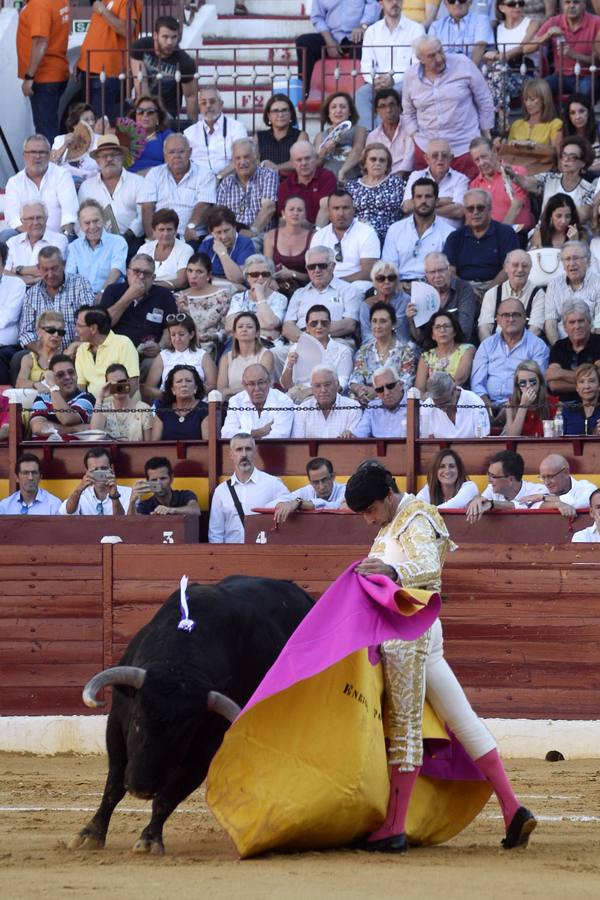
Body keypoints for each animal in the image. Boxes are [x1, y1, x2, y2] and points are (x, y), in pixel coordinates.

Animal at [70, 572, 314, 856]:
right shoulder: (117, 726)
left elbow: (168, 796)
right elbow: (113, 786)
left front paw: (149, 839)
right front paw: (90, 834)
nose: (142, 787)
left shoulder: (205, 750)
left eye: (184, 735)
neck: (179, 665)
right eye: (138, 721)